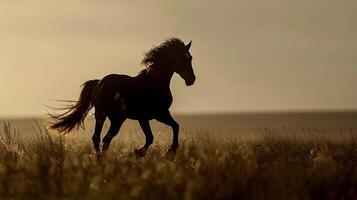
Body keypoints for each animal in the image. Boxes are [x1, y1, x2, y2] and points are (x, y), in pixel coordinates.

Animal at [49, 36, 196, 157]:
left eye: (190, 58)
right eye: (181, 58)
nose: (191, 79)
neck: (154, 84)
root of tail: (99, 83)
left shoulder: (161, 114)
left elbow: (175, 126)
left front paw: (171, 150)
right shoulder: (148, 117)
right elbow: (150, 137)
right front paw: (139, 152)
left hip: (111, 117)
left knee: (101, 138)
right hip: (110, 116)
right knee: (103, 138)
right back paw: (102, 159)